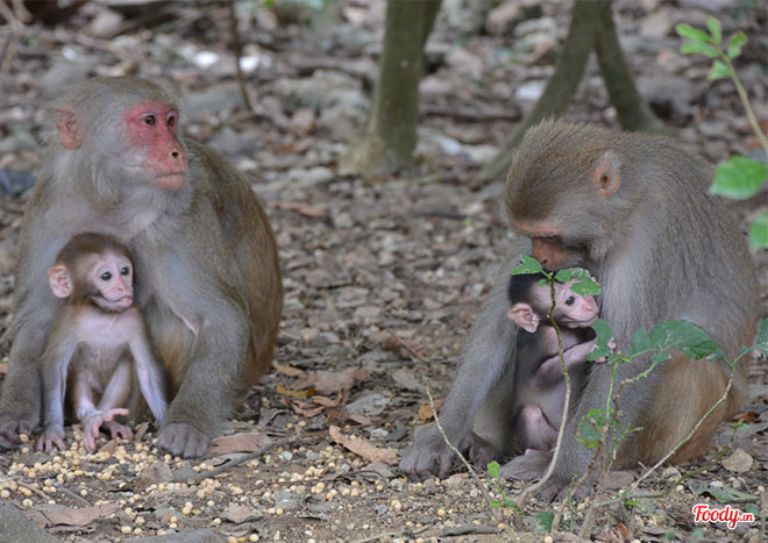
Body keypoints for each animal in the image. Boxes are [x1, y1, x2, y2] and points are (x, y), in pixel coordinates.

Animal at [36, 233, 167, 453]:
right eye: (106, 276)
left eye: (124, 271)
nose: (124, 286)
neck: (102, 315)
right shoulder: (69, 320)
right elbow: (55, 367)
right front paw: (52, 429)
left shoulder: (135, 318)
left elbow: (146, 370)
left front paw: (169, 421)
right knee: (82, 378)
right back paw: (90, 417)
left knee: (125, 367)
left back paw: (104, 419)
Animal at [400, 120, 759, 498]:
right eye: (530, 235)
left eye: (552, 236)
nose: (541, 258)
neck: (624, 206)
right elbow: (497, 327)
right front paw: (441, 438)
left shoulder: (652, 237)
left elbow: (630, 353)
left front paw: (565, 473)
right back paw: (487, 443)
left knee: (681, 356)